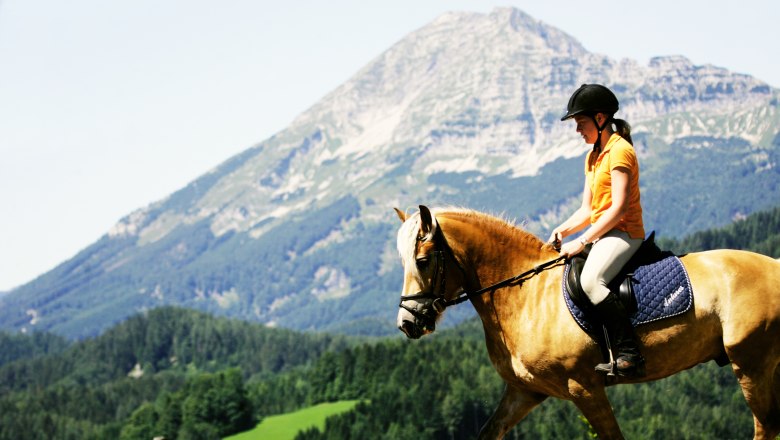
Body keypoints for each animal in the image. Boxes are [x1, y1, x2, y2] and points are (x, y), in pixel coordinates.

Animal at [393, 205, 780, 439]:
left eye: (423, 261)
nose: (407, 323)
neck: (525, 295)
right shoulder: (524, 391)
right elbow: (489, 432)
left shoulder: (584, 387)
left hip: (750, 363)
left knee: (765, 427)